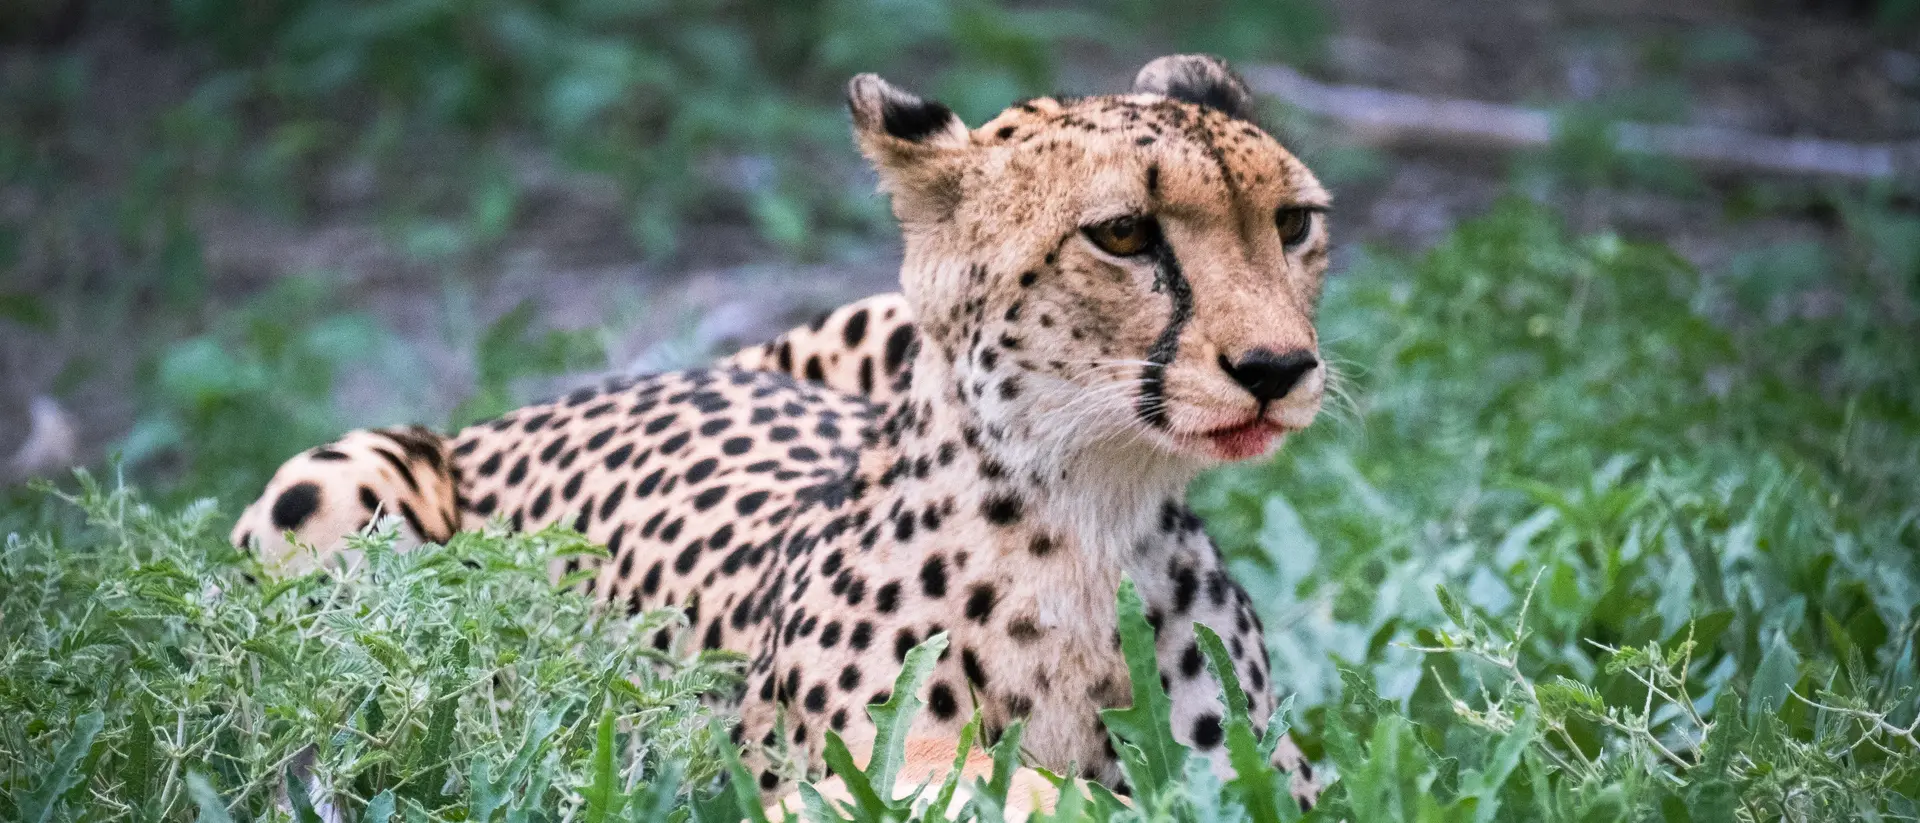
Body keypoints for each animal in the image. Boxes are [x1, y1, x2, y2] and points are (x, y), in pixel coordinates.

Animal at [232, 54, 1333, 811]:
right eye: (1123, 233)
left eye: (1293, 223)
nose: (1278, 368)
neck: (1092, 511)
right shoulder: (839, 771)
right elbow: (993, 782)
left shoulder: (1275, 767)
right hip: (334, 485)